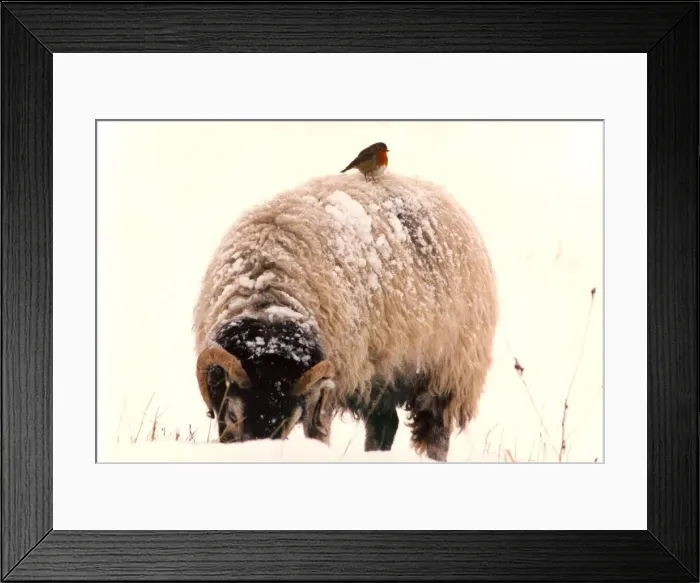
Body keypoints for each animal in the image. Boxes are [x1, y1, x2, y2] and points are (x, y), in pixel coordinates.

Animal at [192, 172, 499, 461]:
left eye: (289, 420)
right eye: (234, 415)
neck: (269, 306)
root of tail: (441, 193)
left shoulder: (325, 388)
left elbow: (317, 432)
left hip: (450, 372)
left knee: (437, 431)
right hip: (382, 374)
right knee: (384, 424)